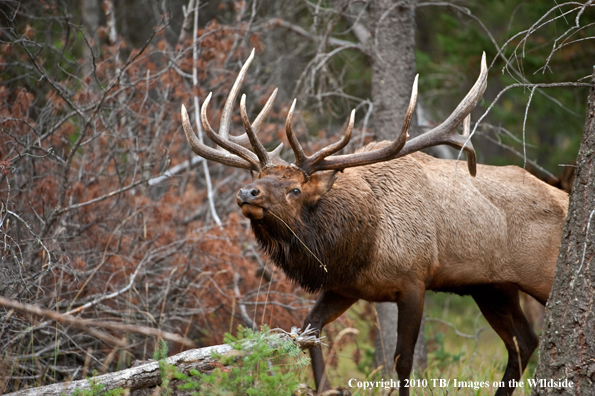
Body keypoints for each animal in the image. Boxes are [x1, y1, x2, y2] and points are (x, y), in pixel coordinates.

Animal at [180, 50, 568, 396]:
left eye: (295, 189)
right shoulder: (346, 286)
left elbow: (403, 360)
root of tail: (564, 196)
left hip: (539, 277)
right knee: (524, 342)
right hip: (492, 287)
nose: (247, 192)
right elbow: (309, 333)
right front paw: (326, 388)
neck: (363, 243)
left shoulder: (414, 280)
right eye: (260, 176)